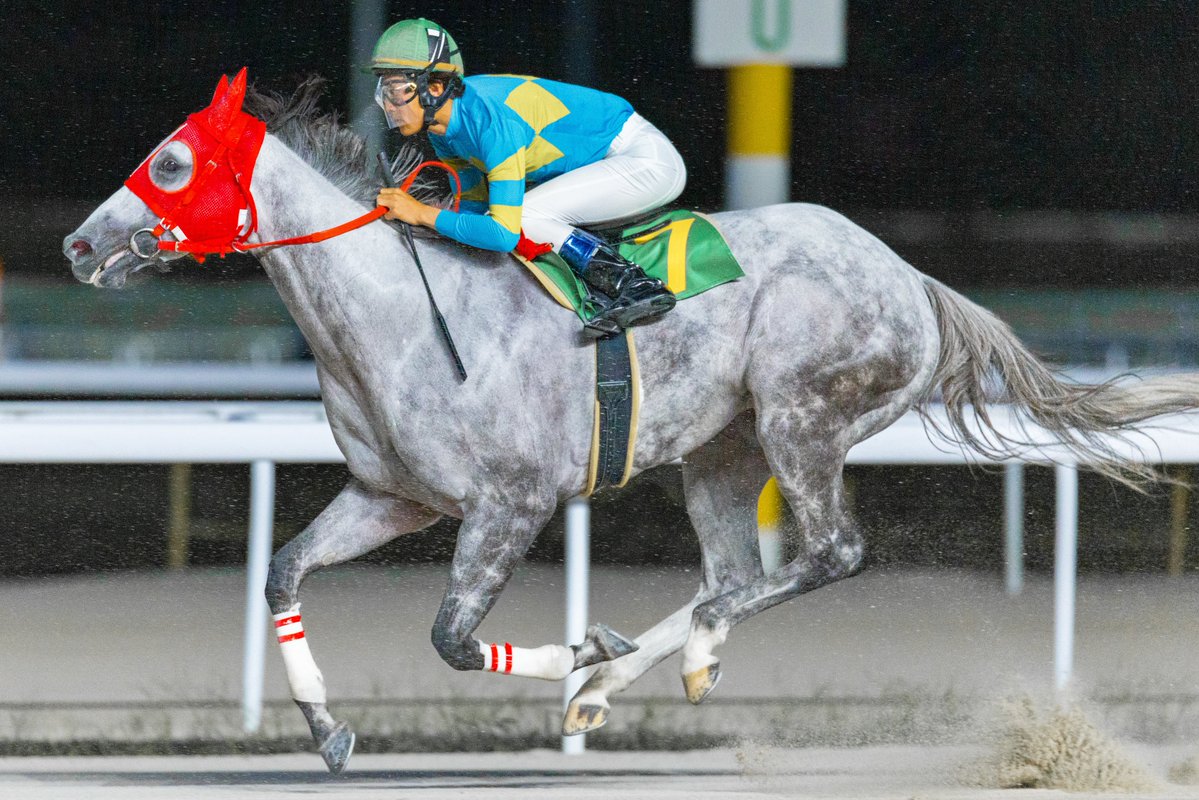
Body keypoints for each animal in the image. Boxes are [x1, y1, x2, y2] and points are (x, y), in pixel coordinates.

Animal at [63, 70, 1199, 773]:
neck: (394, 312)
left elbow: (452, 639)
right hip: (718, 450)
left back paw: (649, 664)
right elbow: (283, 573)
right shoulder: (393, 497)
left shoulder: (508, 502)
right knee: (733, 572)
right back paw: (652, 667)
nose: (78, 247)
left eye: (170, 164)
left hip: (801, 416)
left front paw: (582, 651)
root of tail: (909, 278)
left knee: (824, 554)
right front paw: (329, 730)